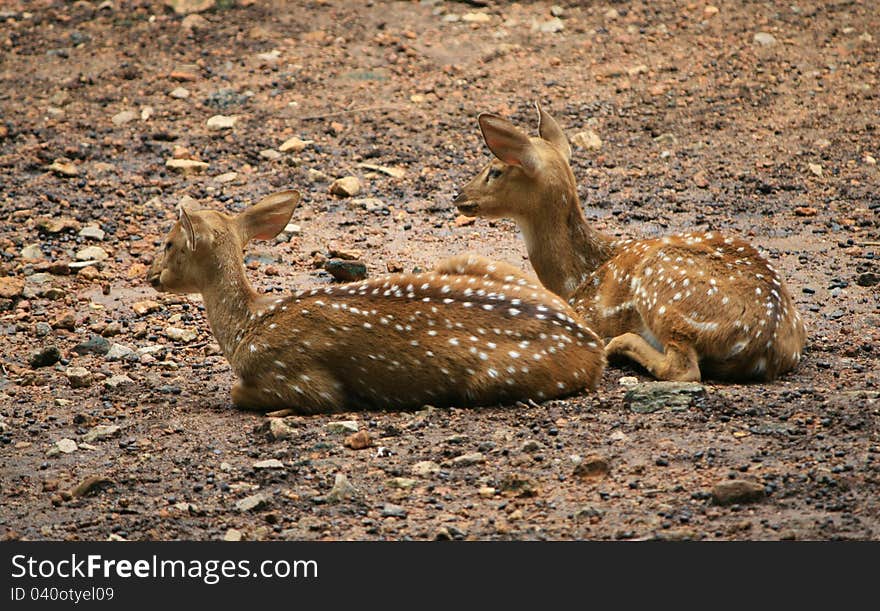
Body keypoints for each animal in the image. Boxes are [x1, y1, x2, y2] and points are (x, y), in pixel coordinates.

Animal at [148, 189, 608, 414]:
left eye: (169, 243)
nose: (150, 275)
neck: (250, 326)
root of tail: (592, 345)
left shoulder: (299, 378)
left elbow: (237, 392)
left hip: (496, 377)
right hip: (470, 259)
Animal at [454, 104, 804, 382]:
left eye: (495, 171)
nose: (458, 196)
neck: (575, 278)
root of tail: (765, 343)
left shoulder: (587, 313)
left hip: (664, 288)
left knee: (684, 369)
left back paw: (620, 344)